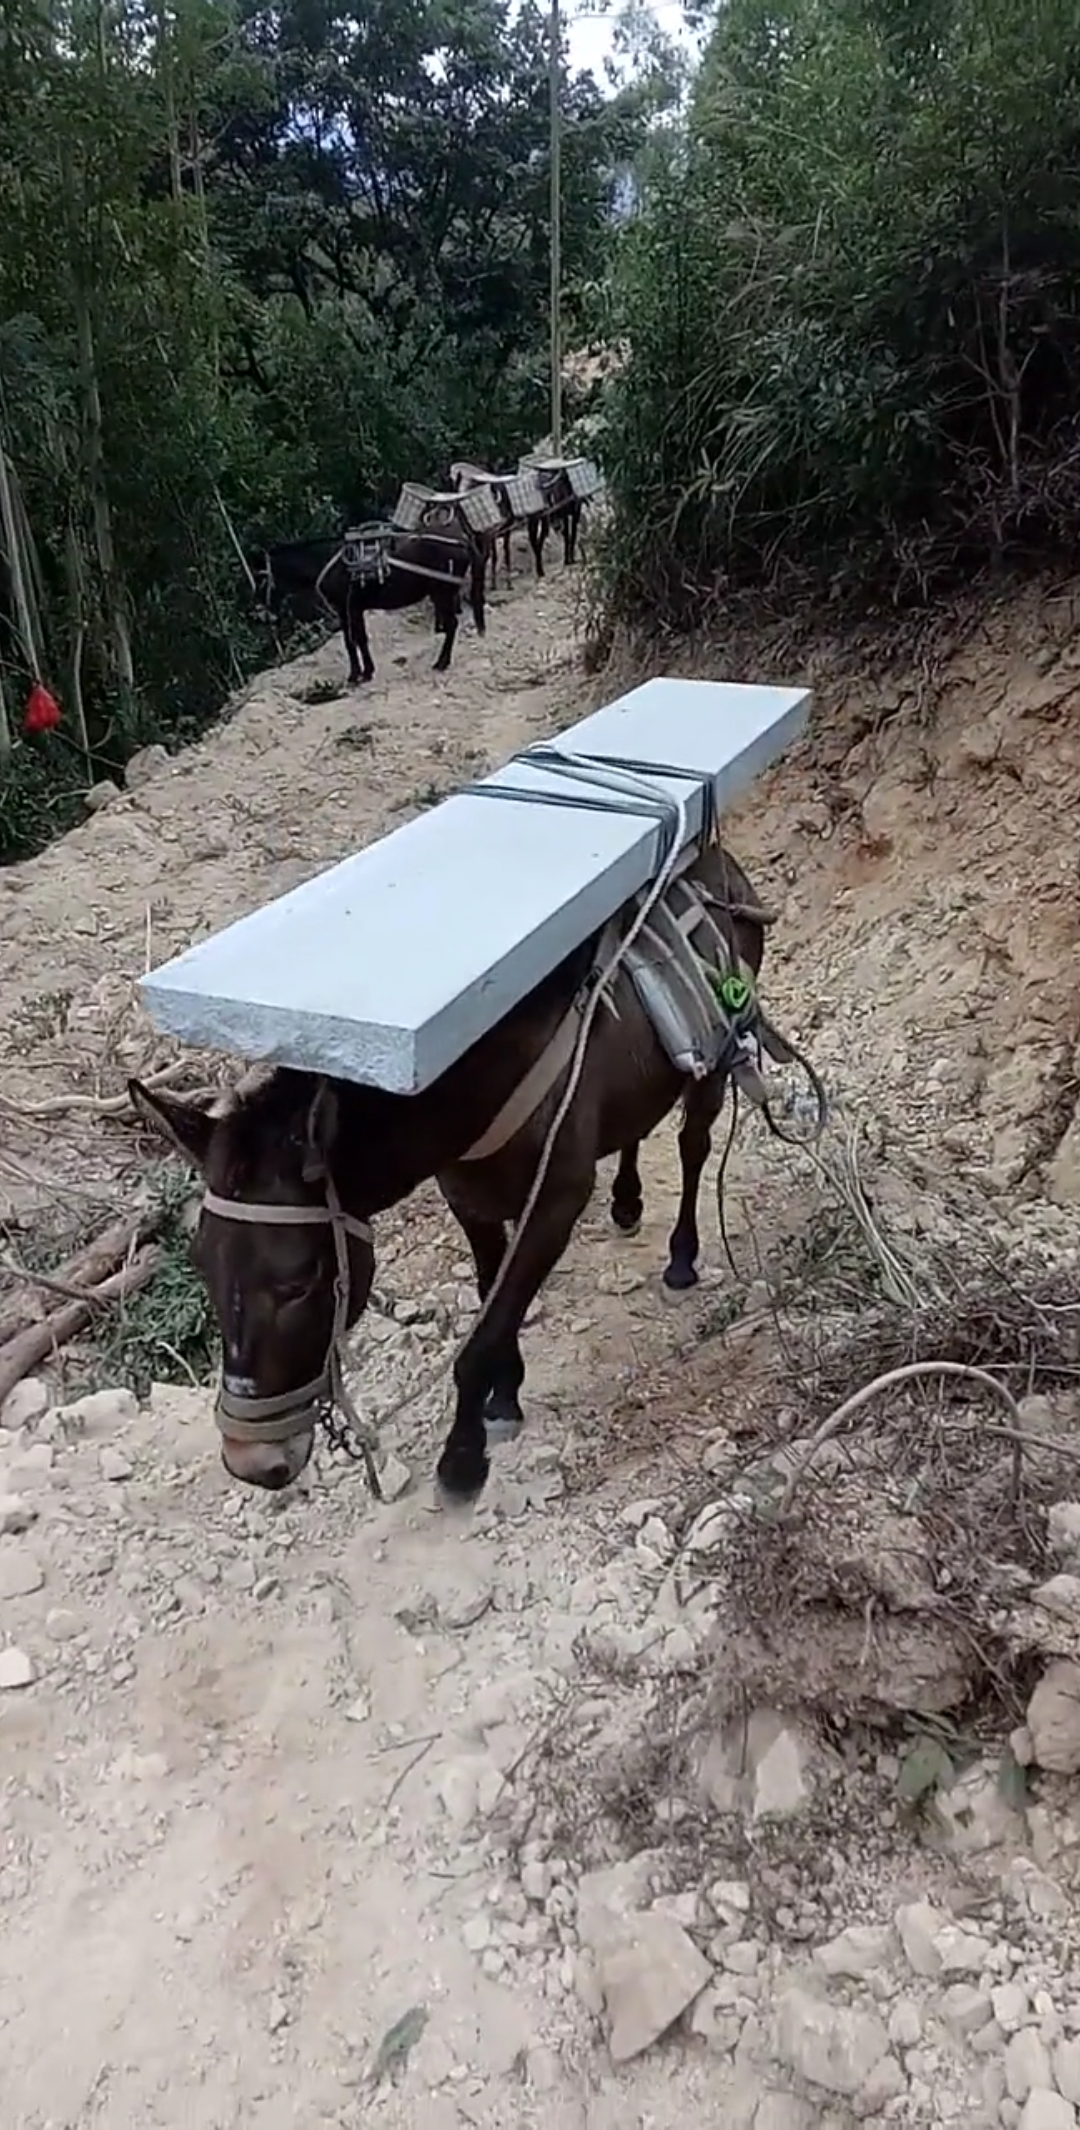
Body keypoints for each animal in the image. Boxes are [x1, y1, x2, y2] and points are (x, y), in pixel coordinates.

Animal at [129, 842, 771, 1503]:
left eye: (301, 1281)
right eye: (202, 1264)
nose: (250, 1462)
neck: (478, 1084)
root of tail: (721, 860)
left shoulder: (554, 1204)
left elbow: (482, 1338)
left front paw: (463, 1459)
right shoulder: (469, 1198)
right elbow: (493, 1302)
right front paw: (505, 1396)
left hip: (716, 1055)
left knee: (694, 1146)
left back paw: (682, 1258)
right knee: (634, 1129)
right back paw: (626, 1201)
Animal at [243, 529, 486, 686]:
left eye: (261, 577)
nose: (257, 610)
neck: (327, 563)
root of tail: (461, 541)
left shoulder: (348, 607)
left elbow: (354, 640)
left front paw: (359, 675)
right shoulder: (350, 609)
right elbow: (356, 640)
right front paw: (362, 672)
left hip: (441, 592)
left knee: (452, 625)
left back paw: (441, 663)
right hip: (445, 593)